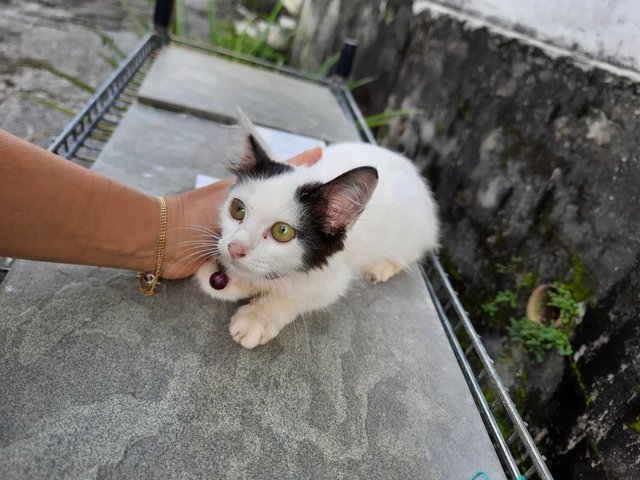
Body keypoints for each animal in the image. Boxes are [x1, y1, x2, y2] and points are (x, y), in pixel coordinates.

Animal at [196, 113, 440, 348]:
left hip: (414, 228)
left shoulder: (335, 277)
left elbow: (303, 294)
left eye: (282, 231)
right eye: (237, 208)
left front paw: (260, 316)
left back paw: (383, 266)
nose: (234, 248)